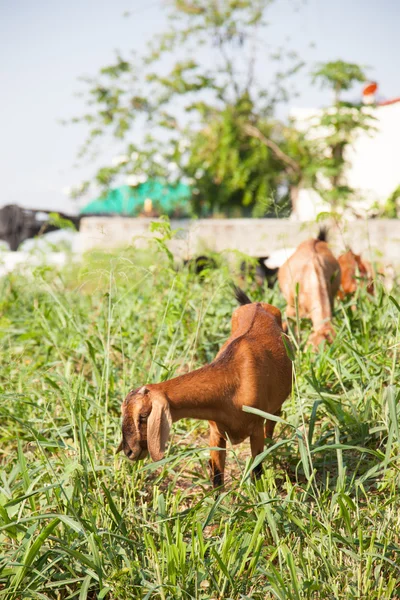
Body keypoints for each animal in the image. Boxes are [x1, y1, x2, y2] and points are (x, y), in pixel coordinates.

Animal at [117, 288, 292, 490]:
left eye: (144, 416)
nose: (129, 451)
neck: (234, 381)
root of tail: (256, 304)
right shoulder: (215, 433)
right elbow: (217, 478)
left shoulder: (256, 429)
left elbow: (257, 471)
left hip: (274, 409)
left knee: (273, 424)